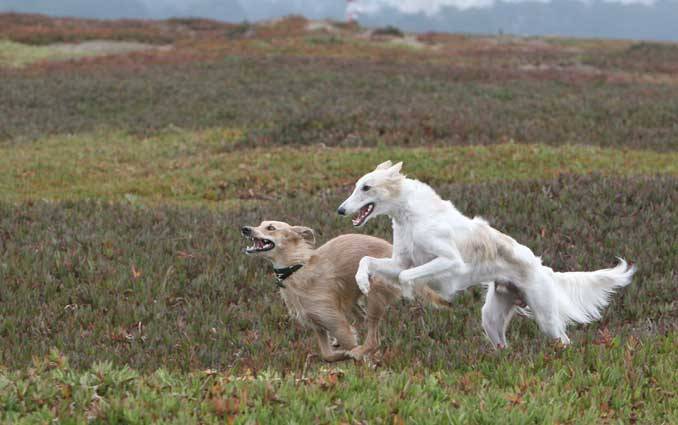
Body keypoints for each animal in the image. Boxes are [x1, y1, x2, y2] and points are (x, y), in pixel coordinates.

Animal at [240, 219, 452, 362]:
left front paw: (362, 359)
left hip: (374, 292)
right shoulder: (318, 326)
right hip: (353, 301)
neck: (297, 268)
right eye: (260, 224)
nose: (245, 228)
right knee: (363, 321)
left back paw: (360, 350)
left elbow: (353, 345)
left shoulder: (336, 322)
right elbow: (327, 355)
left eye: (271, 228)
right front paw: (341, 353)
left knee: (373, 339)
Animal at [340, 161, 636, 346]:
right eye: (356, 185)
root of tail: (542, 268)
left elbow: (406, 277)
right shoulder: (401, 260)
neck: (412, 215)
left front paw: (421, 295)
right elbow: (368, 261)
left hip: (546, 318)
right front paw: (362, 283)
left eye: (366, 187)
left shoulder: (450, 262)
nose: (340, 210)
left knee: (563, 340)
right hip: (492, 319)